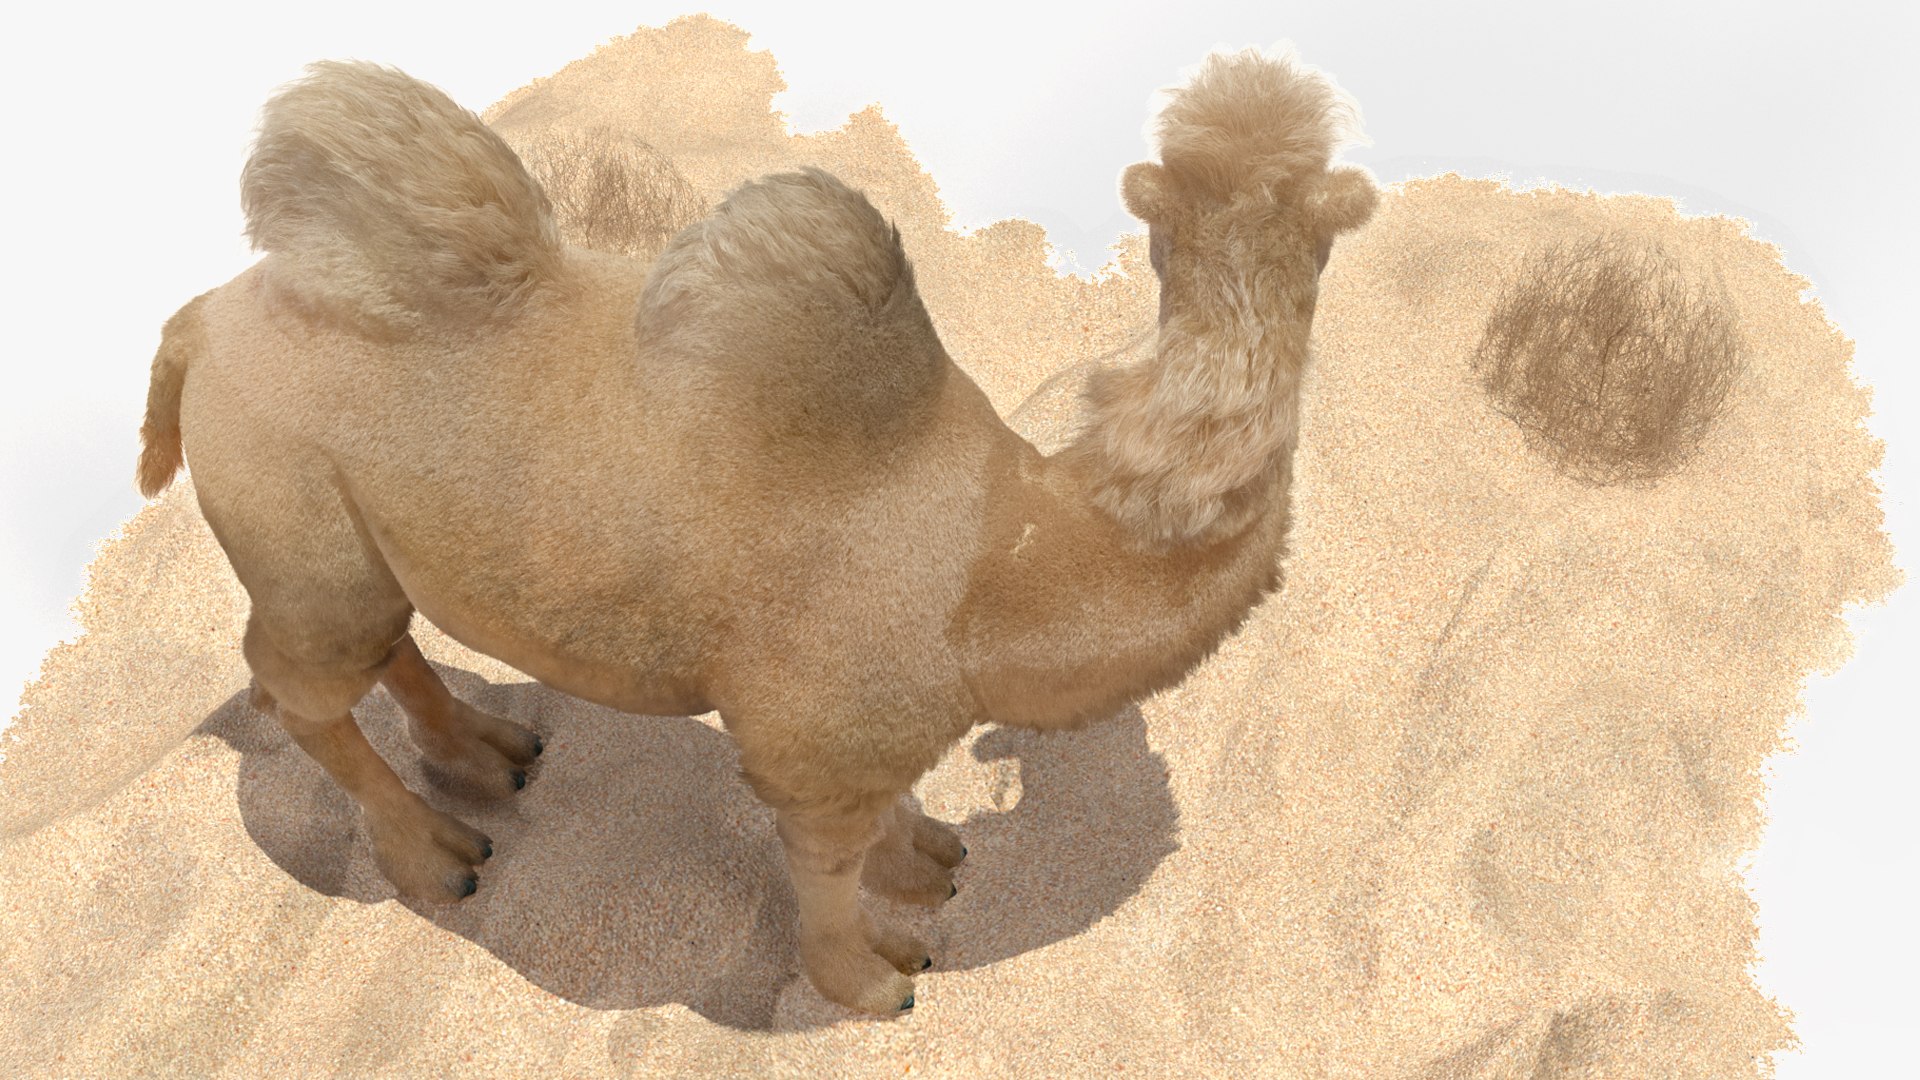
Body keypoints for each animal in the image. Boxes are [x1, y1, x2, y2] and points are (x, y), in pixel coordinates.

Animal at [133, 48, 1376, 1016]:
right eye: (1169, 215)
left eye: (1319, 217)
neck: (1000, 562)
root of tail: (200, 319)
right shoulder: (810, 732)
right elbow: (823, 867)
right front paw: (873, 980)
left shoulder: (864, 721)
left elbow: (892, 814)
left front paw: (930, 862)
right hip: (287, 502)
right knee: (296, 682)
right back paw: (435, 857)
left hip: (344, 530)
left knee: (379, 637)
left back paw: (492, 753)